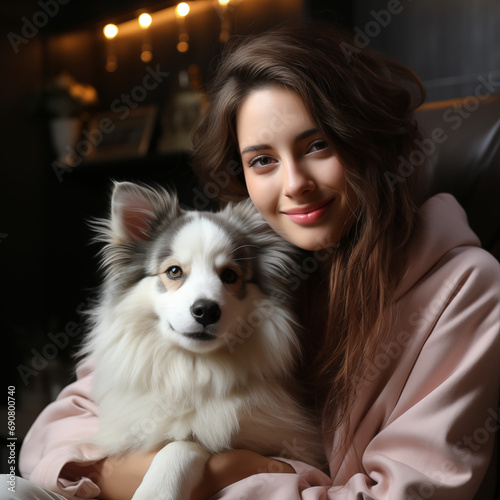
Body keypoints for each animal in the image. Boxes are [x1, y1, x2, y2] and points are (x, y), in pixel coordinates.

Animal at [82, 182, 324, 498]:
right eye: (174, 271)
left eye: (230, 275)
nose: (206, 310)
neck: (193, 368)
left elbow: (183, 443)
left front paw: (157, 489)